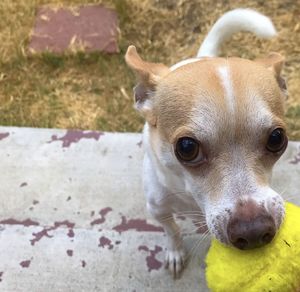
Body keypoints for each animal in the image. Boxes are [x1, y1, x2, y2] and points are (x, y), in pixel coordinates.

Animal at [125, 8, 288, 278]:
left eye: (277, 138)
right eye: (187, 148)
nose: (253, 231)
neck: (190, 197)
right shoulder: (158, 209)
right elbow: (172, 230)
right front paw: (175, 252)